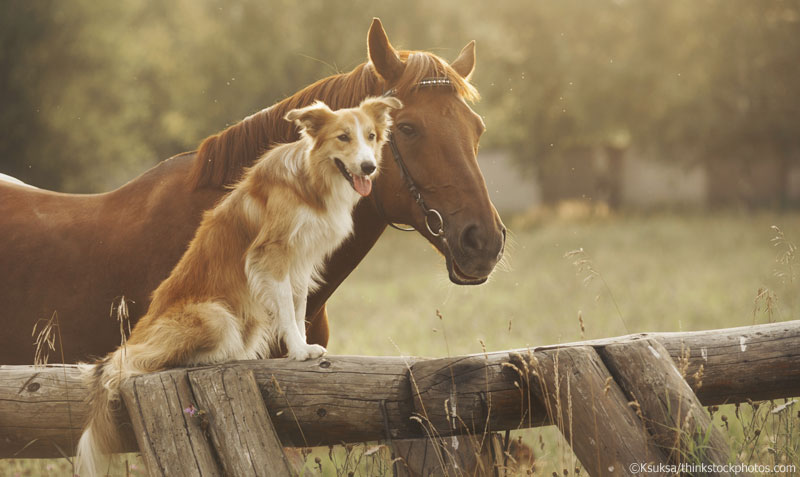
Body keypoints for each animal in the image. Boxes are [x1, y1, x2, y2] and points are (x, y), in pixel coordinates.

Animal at [76, 95, 400, 474]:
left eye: (371, 136)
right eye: (343, 137)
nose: (368, 167)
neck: (311, 180)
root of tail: (137, 337)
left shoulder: (301, 262)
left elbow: (298, 306)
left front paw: (302, 347)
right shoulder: (272, 255)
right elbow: (287, 310)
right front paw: (299, 351)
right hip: (215, 316)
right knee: (129, 364)